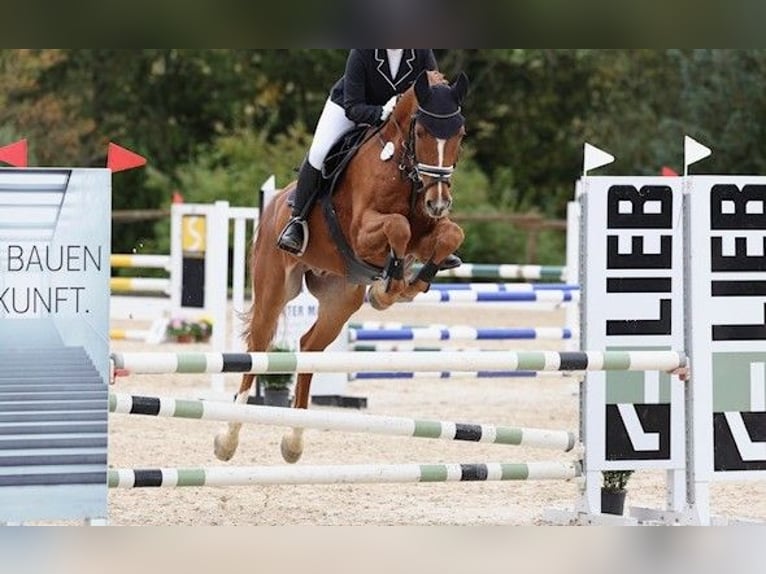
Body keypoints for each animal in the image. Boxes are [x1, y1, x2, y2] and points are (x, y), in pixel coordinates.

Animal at [213, 72, 472, 466]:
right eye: (423, 132)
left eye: (460, 133)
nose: (439, 202)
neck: (405, 172)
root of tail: (274, 203)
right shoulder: (362, 232)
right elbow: (399, 226)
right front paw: (390, 287)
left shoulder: (428, 231)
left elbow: (449, 235)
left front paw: (406, 284)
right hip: (274, 288)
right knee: (258, 347)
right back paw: (228, 437)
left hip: (340, 300)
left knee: (308, 347)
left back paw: (294, 441)